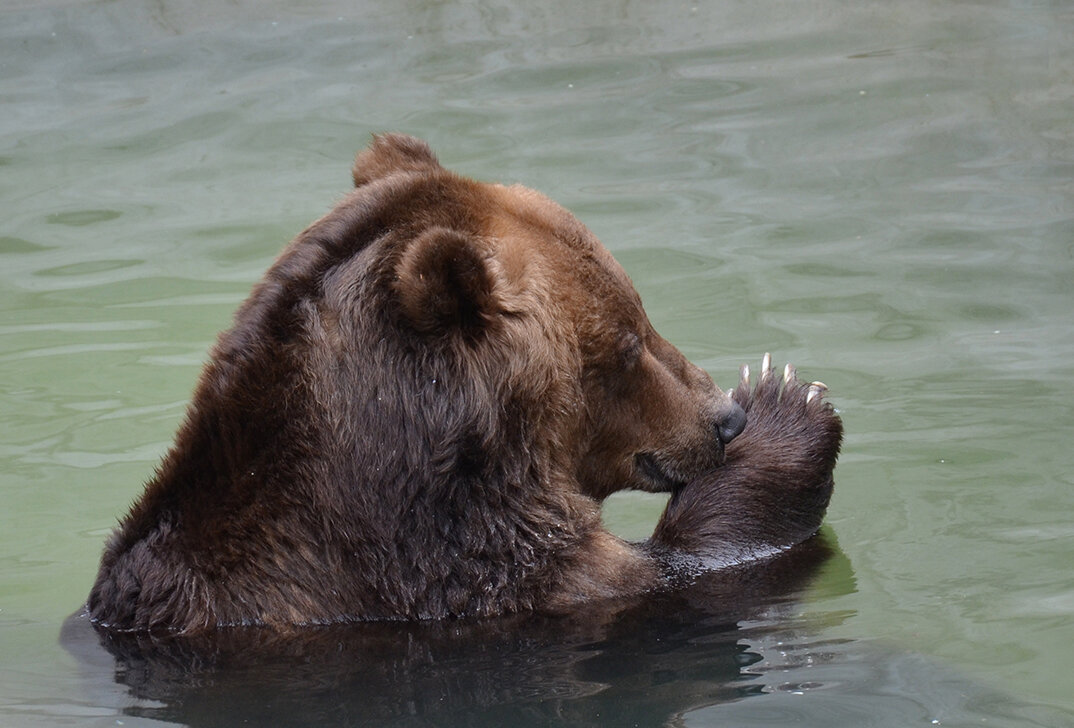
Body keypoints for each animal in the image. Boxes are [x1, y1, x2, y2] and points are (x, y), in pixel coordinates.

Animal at [85, 134, 837, 635]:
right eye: (627, 343)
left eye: (640, 313)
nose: (724, 418)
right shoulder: (493, 580)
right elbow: (704, 564)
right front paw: (788, 404)